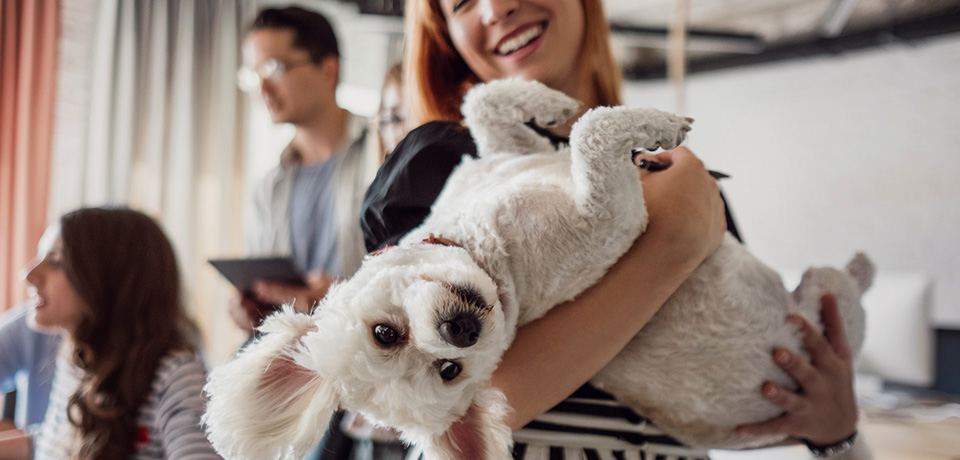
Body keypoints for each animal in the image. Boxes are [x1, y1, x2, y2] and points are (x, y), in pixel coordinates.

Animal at [206, 80, 872, 460]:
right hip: (824, 298)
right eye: (451, 372)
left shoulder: (505, 156)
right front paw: (658, 124)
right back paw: (862, 264)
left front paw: (552, 100)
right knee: (845, 289)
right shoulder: (613, 221)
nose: (460, 332)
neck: (481, 240)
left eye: (384, 334)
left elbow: (488, 104)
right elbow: (592, 132)